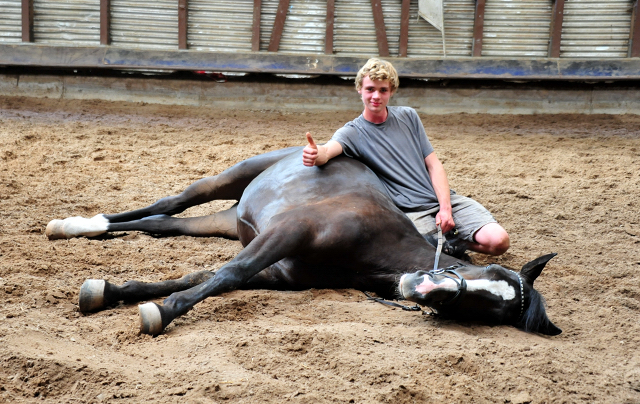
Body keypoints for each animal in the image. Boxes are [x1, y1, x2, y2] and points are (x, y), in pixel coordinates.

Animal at [46, 147, 560, 336]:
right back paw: (73, 225)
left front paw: (114, 293)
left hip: (226, 220)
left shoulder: (279, 272)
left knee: (161, 223)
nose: (424, 288)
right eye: (482, 272)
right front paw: (161, 314)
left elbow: (202, 277)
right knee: (170, 202)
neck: (374, 246)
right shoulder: (286, 233)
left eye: (485, 309)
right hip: (229, 180)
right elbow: (227, 274)